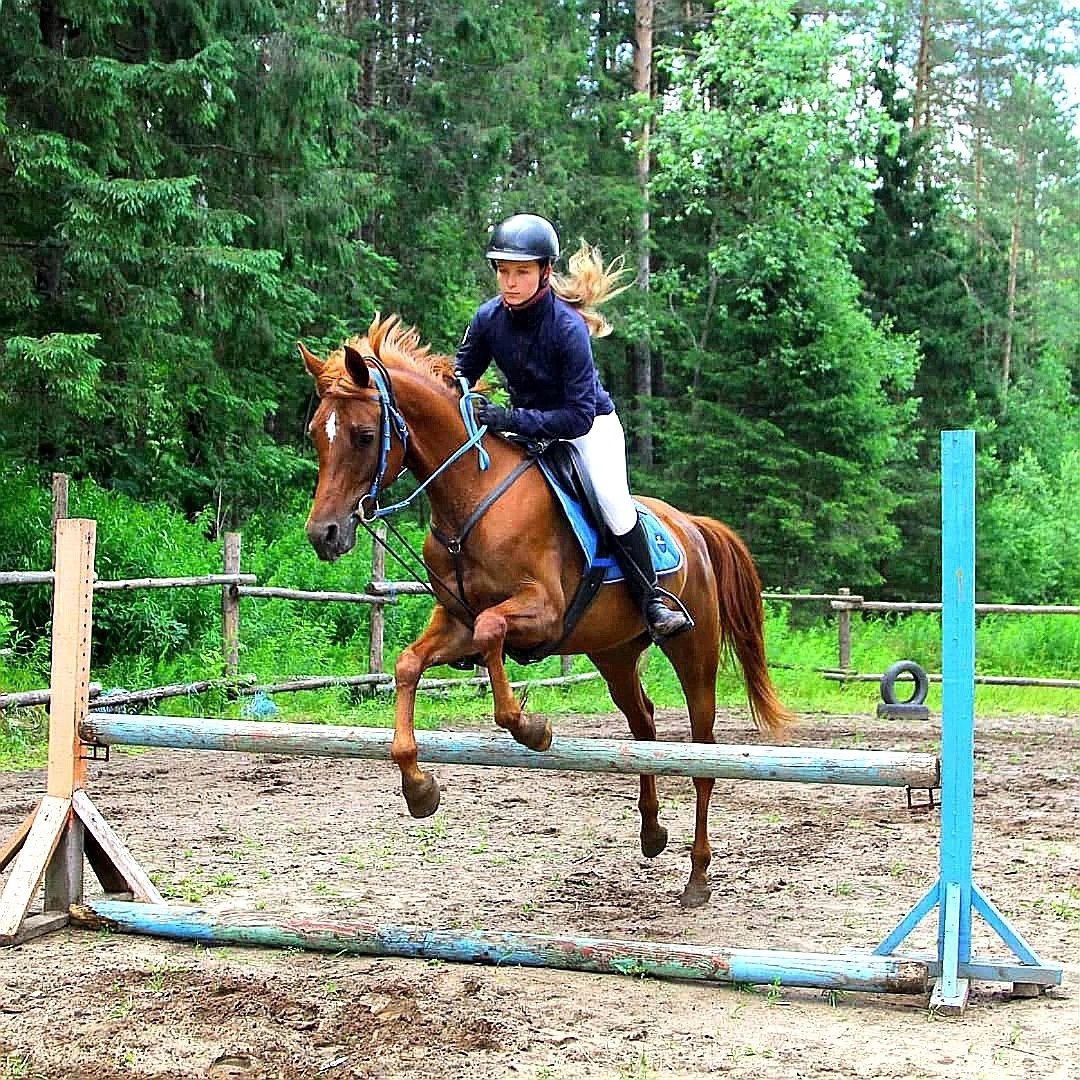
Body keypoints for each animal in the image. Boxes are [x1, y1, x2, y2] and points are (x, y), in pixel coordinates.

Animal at [300, 315, 790, 907]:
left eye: (364, 436)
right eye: (315, 434)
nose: (324, 535)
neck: (473, 495)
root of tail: (691, 525)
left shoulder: (543, 614)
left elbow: (493, 635)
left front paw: (531, 729)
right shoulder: (455, 623)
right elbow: (409, 664)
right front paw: (419, 790)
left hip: (692, 651)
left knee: (702, 757)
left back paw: (696, 876)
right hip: (613, 654)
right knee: (644, 725)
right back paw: (652, 833)